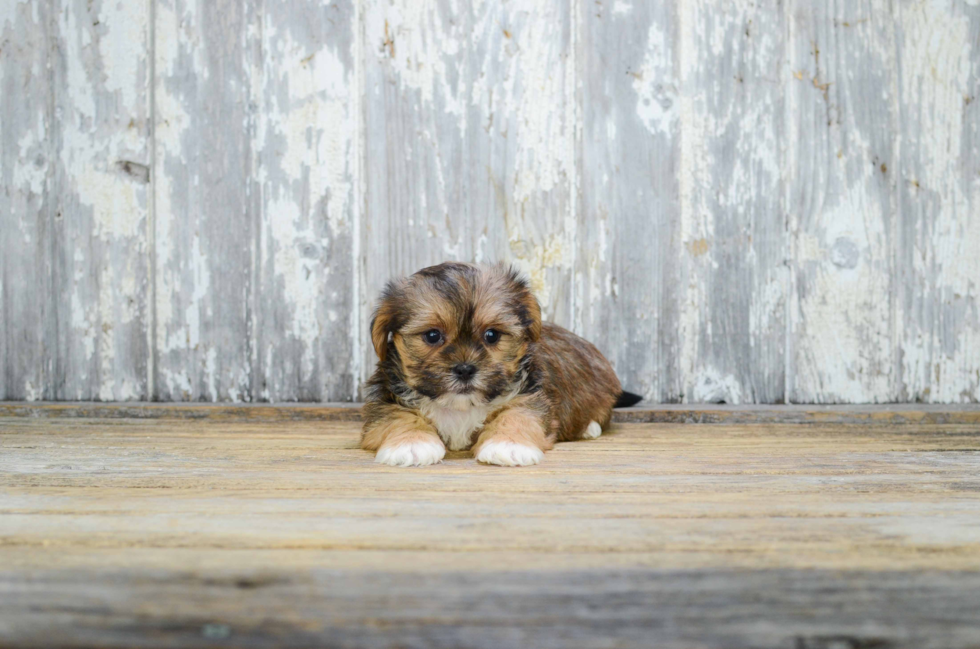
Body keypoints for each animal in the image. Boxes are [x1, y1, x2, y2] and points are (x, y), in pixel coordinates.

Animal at [360, 262, 644, 466]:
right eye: (432, 335)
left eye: (491, 335)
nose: (465, 369)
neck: (460, 406)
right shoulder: (385, 397)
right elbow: (397, 415)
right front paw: (411, 444)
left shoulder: (531, 396)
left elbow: (516, 414)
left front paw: (509, 445)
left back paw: (589, 427)